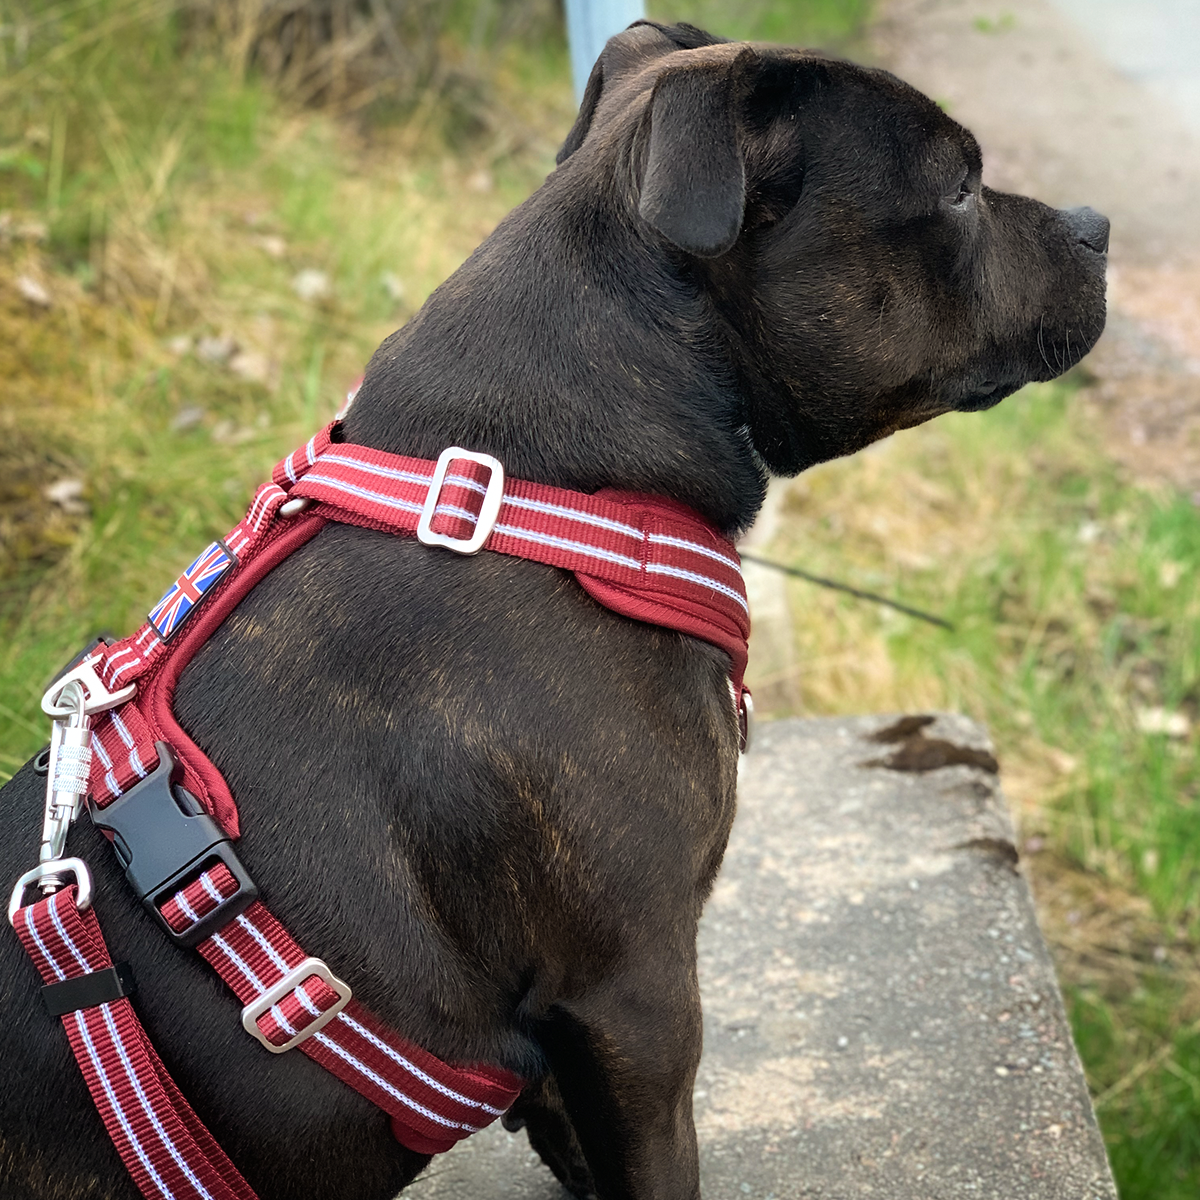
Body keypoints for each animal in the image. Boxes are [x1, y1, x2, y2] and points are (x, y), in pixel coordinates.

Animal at [0, 18, 1104, 1200]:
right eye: (959, 189)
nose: (1097, 226)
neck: (553, 492)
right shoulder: (638, 1000)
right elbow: (654, 1160)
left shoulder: (577, 1038)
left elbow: (571, 1130)